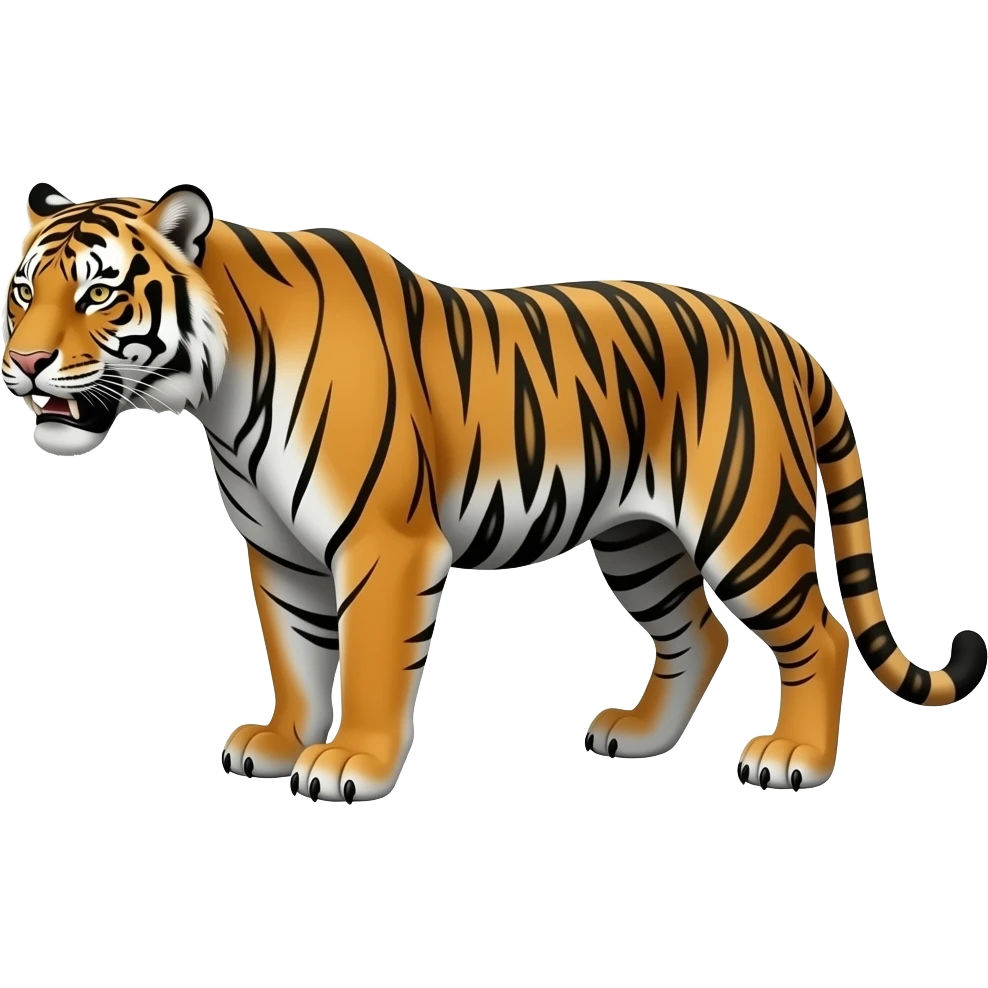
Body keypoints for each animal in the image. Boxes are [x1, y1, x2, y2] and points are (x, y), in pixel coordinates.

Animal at [4, 181, 984, 802]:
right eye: (20, 290)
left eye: (98, 293)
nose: (25, 363)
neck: (220, 387)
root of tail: (783, 338)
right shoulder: (280, 554)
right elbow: (296, 656)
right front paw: (281, 743)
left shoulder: (384, 546)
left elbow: (368, 663)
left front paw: (350, 765)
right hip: (640, 542)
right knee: (697, 633)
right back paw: (638, 736)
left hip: (743, 530)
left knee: (817, 630)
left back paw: (795, 759)